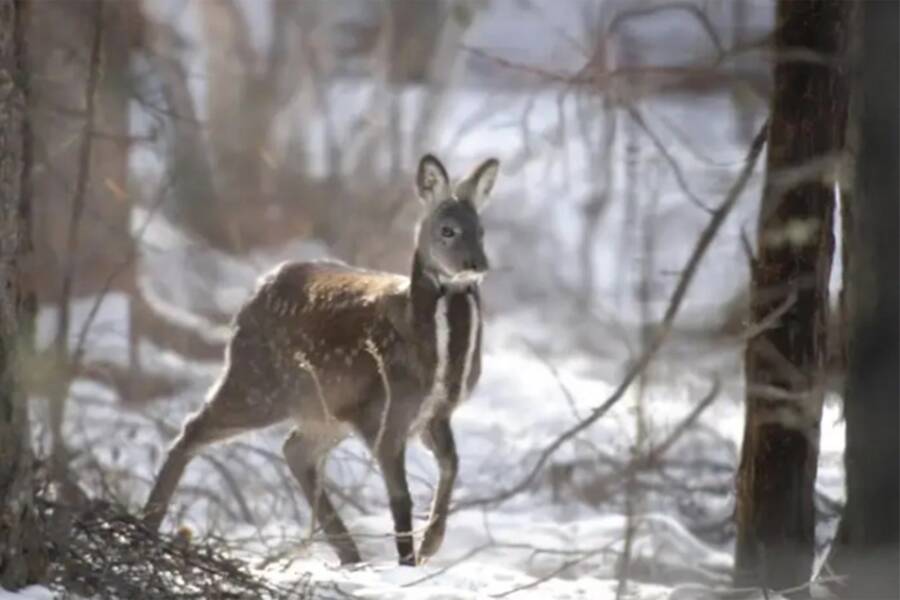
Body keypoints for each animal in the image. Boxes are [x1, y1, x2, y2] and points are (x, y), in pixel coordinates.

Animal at [143, 154, 501, 566]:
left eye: (482, 230)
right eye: (447, 230)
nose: (478, 265)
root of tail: (254, 293)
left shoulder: (436, 412)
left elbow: (452, 465)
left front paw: (431, 544)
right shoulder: (387, 408)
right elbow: (401, 498)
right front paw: (408, 562)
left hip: (325, 407)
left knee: (293, 449)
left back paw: (351, 555)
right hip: (258, 382)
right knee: (194, 428)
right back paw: (148, 523)